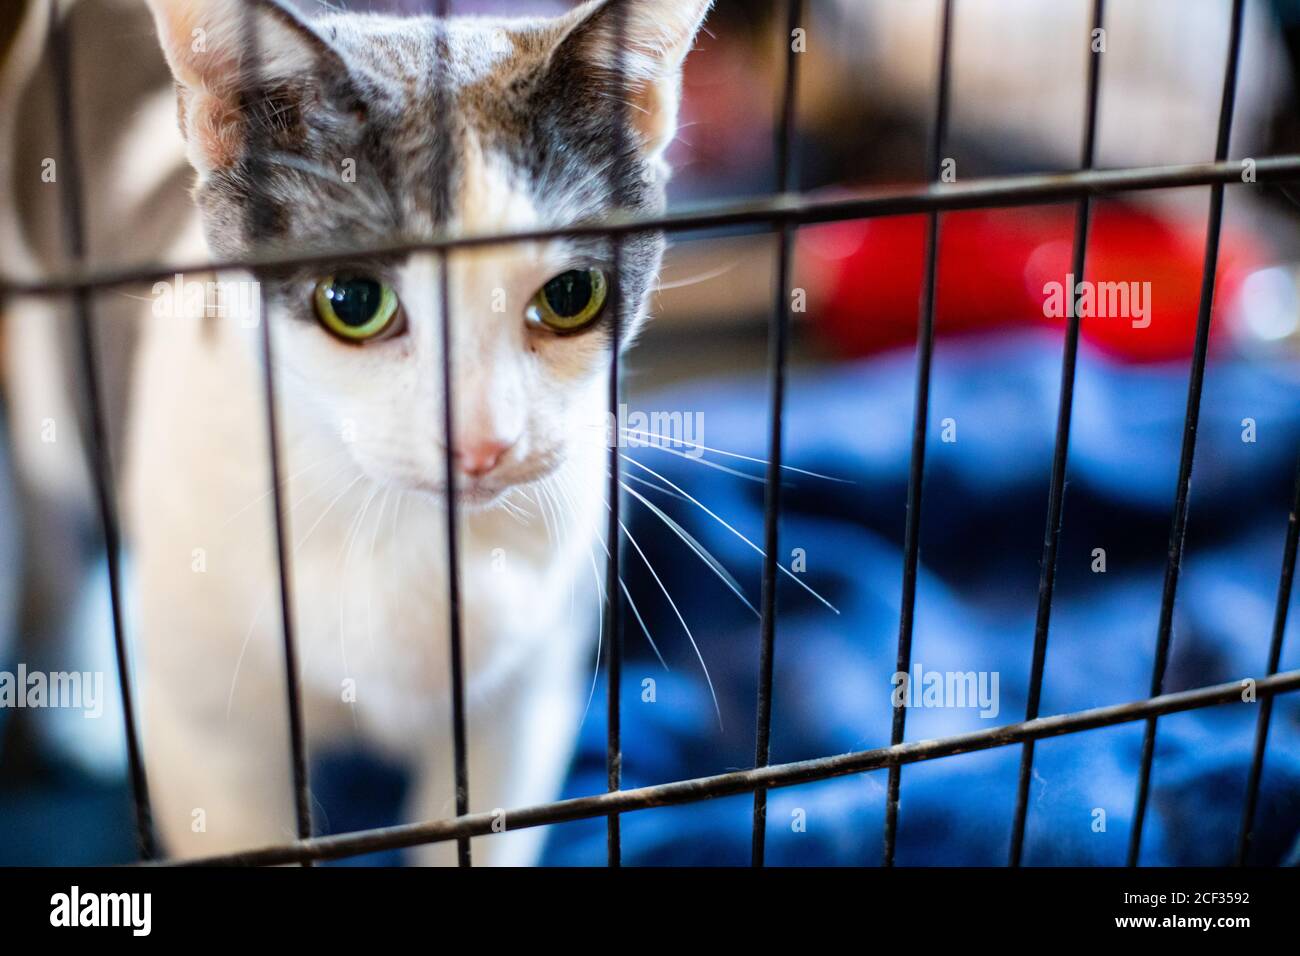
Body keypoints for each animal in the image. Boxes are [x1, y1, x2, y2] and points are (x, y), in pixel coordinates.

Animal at [27, 0, 712, 868]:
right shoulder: (211, 741)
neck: (401, 531)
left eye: (570, 295)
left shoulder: (522, 703)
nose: (482, 441)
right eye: (353, 300)